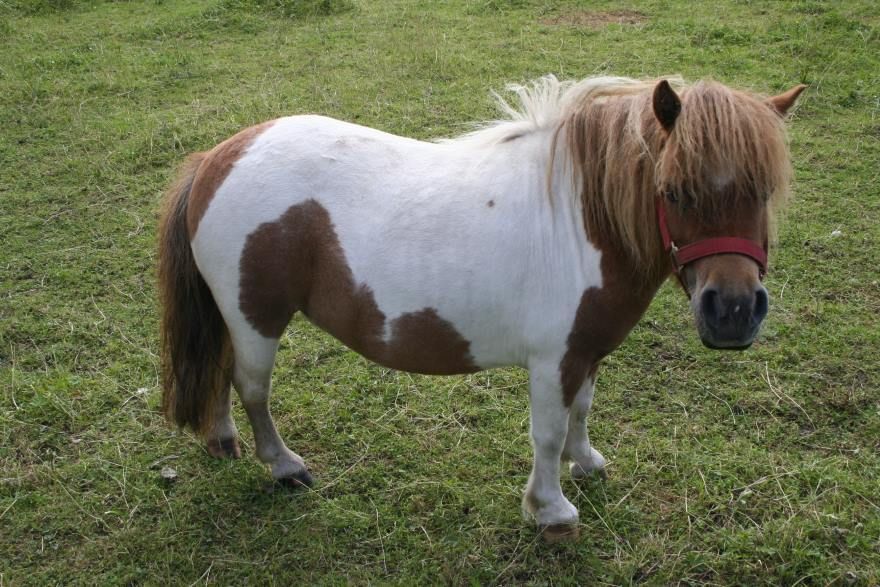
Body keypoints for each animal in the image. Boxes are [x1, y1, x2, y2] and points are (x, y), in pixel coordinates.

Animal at [158, 75, 805, 539]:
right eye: (674, 192)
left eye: (764, 190)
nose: (733, 313)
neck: (582, 221)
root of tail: (217, 158)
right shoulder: (554, 360)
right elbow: (547, 432)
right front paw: (550, 511)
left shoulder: (585, 352)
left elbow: (581, 412)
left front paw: (586, 462)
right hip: (256, 320)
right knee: (252, 388)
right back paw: (284, 465)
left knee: (222, 374)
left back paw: (221, 441)